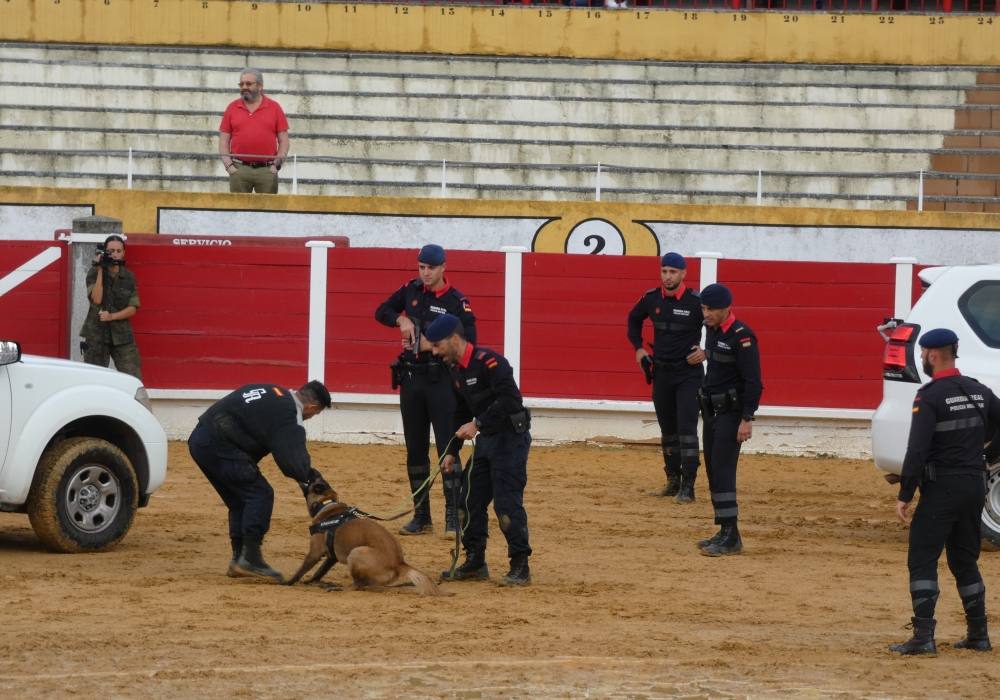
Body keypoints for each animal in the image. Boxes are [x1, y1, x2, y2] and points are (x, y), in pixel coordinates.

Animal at [284, 482, 444, 596]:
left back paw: (337, 587)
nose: (302, 480)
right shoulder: (331, 557)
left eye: (310, 482)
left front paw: (287, 582)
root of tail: (399, 564)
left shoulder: (314, 553)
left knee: (357, 586)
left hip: (356, 553)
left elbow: (301, 570)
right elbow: (319, 571)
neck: (327, 504)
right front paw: (311, 581)